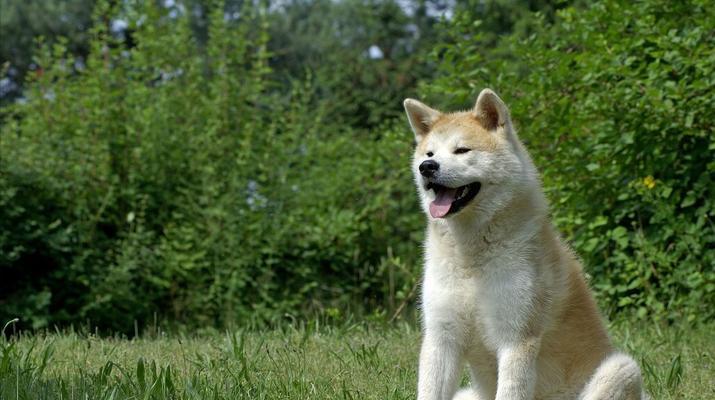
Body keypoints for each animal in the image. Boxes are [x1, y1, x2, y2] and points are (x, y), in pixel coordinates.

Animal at [406, 90, 648, 400]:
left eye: (462, 151)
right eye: (430, 154)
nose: (427, 168)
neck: (471, 255)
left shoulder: (516, 338)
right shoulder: (441, 339)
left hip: (621, 369)